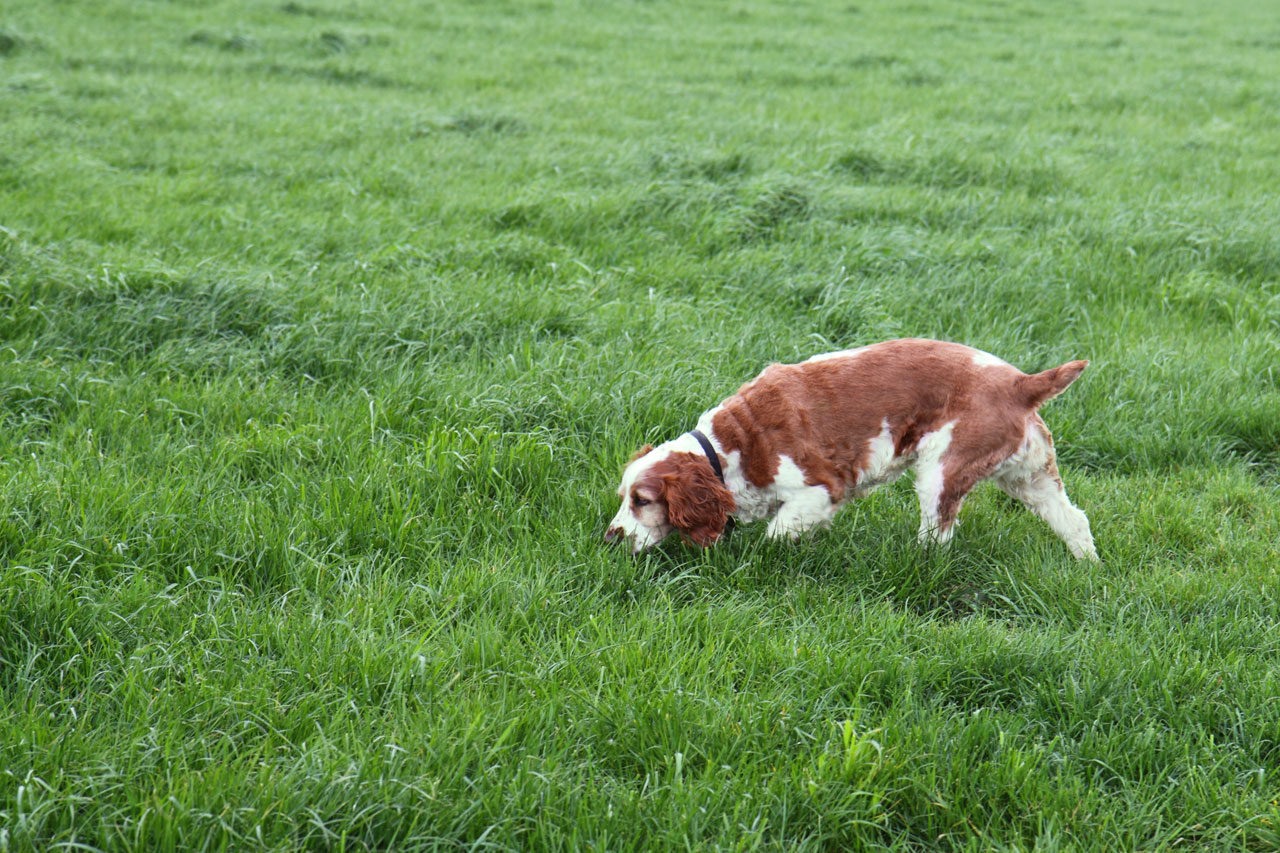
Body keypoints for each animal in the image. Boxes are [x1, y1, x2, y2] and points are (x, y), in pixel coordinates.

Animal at [604, 335, 1095, 560]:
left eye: (642, 500)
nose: (610, 538)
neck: (731, 448)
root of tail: (1021, 383)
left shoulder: (820, 489)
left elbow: (777, 530)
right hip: (1030, 476)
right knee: (1074, 519)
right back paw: (1087, 567)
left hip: (942, 473)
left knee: (938, 536)